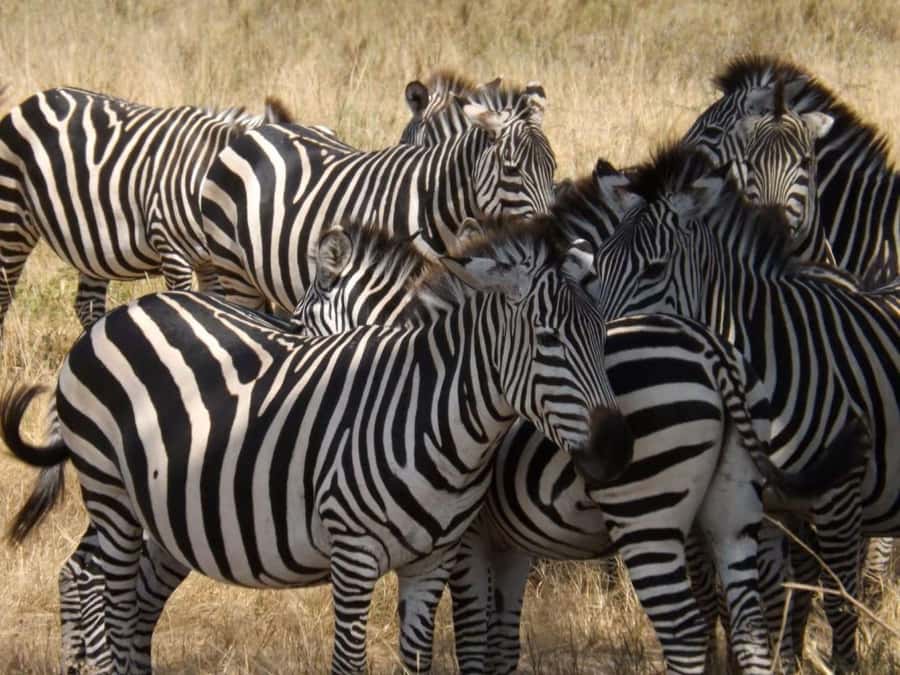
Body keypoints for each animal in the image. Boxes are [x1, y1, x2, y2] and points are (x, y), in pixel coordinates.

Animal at [0, 87, 293, 335]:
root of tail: (35, 98)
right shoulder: (174, 253)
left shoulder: (211, 264)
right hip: (11, 219)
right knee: (4, 295)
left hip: (92, 243)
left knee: (87, 303)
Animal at [2, 222, 628, 675]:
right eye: (548, 340)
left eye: (602, 334)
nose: (615, 451)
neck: (433, 416)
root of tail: (120, 316)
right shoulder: (355, 557)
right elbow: (352, 663)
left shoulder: (431, 563)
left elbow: (422, 662)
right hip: (111, 495)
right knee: (95, 585)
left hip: (165, 510)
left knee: (122, 598)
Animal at [199, 85, 556, 314]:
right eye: (511, 169)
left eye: (552, 168)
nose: (550, 235)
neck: (435, 205)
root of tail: (255, 133)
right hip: (234, 274)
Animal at [290, 219, 868, 674]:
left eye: (300, 321)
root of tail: (710, 348)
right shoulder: (510, 543)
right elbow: (502, 643)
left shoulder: (467, 540)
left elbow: (473, 639)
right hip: (732, 508)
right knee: (751, 621)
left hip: (647, 513)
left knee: (687, 629)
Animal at [587, 142, 900, 670]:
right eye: (598, 268)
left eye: (654, 269)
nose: (605, 351)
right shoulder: (765, 505)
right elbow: (759, 602)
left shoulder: (839, 496)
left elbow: (840, 605)